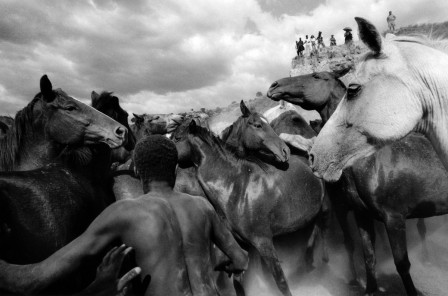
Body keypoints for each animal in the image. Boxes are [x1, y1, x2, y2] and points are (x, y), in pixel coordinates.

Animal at [174, 102, 326, 296]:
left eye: (177, 137)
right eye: (257, 125)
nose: (284, 151)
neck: (236, 185)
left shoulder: (264, 242)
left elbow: (281, 282)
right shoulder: (242, 245)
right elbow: (238, 280)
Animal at [266, 69, 448, 294]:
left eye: (316, 76)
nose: (274, 85)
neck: (370, 161)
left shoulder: (394, 219)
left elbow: (402, 264)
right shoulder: (362, 216)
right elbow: (368, 255)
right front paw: (369, 289)